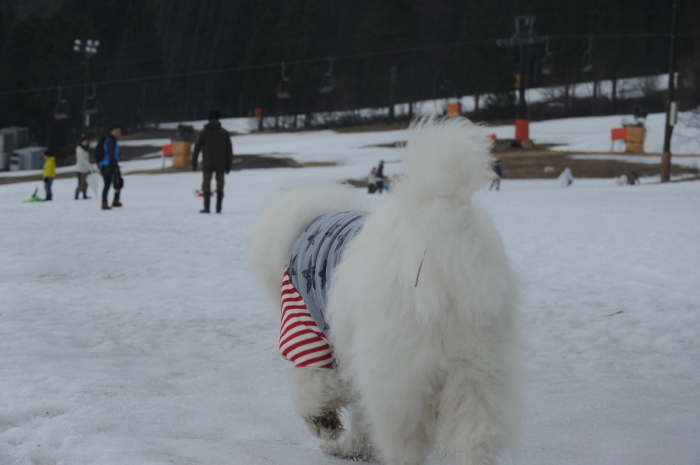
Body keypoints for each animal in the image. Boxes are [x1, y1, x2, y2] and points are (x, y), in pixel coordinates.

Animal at [252, 117, 520, 464]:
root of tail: (444, 232)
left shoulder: (308, 329)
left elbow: (313, 386)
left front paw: (324, 425)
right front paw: (352, 448)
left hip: (397, 379)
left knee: (404, 443)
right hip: (479, 369)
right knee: (477, 437)